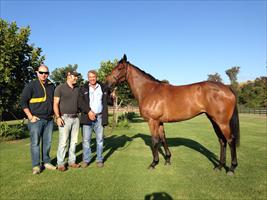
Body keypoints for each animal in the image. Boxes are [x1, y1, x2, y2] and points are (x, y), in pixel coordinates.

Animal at [106, 54, 241, 175]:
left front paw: (154, 163)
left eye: (119, 68)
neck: (149, 91)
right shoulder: (160, 122)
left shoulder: (152, 121)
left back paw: (231, 168)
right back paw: (219, 166)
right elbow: (163, 139)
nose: (107, 83)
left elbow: (155, 141)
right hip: (214, 120)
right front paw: (167, 160)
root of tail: (227, 88)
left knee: (230, 140)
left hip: (222, 122)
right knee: (222, 141)